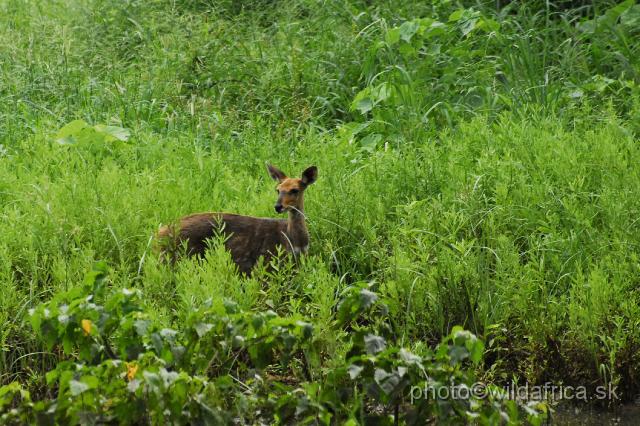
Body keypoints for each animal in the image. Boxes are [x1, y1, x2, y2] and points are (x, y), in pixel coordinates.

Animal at [158, 165, 318, 274]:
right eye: (278, 190)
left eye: (295, 190)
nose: (278, 206)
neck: (294, 240)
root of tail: (159, 233)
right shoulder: (268, 261)